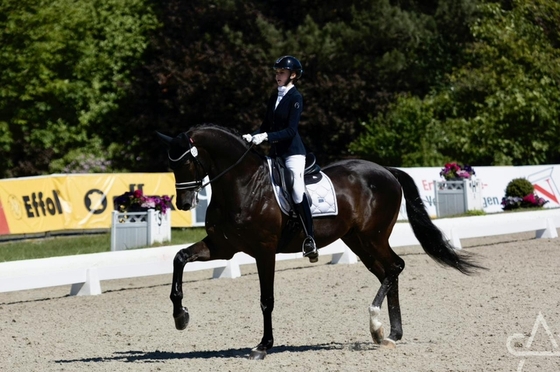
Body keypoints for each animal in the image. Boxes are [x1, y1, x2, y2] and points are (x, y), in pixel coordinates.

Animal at [156, 125, 482, 360]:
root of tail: (386, 171)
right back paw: (389, 334)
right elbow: (179, 258)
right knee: (388, 273)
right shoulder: (222, 247)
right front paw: (180, 317)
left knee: (395, 267)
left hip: (373, 236)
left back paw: (377, 325)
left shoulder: (264, 250)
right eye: (171, 165)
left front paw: (263, 345)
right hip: (358, 240)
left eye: (187, 162)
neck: (243, 184)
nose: (183, 204)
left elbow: (266, 299)